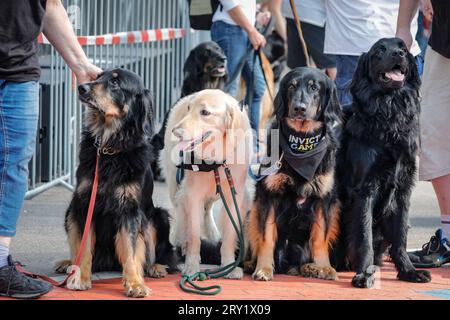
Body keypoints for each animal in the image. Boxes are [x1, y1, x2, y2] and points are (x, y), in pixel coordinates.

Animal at [55, 67, 177, 298]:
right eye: (98, 77)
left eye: (115, 83)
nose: (82, 87)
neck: (110, 147)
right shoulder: (85, 204)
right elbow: (84, 247)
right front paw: (81, 278)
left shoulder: (129, 210)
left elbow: (131, 252)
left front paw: (134, 283)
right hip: (69, 211)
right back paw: (69, 264)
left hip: (158, 216)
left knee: (158, 253)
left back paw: (155, 267)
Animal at [246, 67, 342, 280]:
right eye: (291, 86)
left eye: (314, 88)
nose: (299, 108)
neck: (302, 142)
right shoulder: (268, 195)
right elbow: (266, 237)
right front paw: (263, 268)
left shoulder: (323, 199)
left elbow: (319, 238)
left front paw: (324, 267)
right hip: (251, 213)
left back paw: (310, 267)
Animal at [338, 37, 432, 288]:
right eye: (379, 51)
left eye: (403, 48)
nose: (398, 54)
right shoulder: (365, 189)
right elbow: (364, 237)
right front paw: (364, 274)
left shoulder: (403, 188)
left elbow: (400, 237)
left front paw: (409, 271)